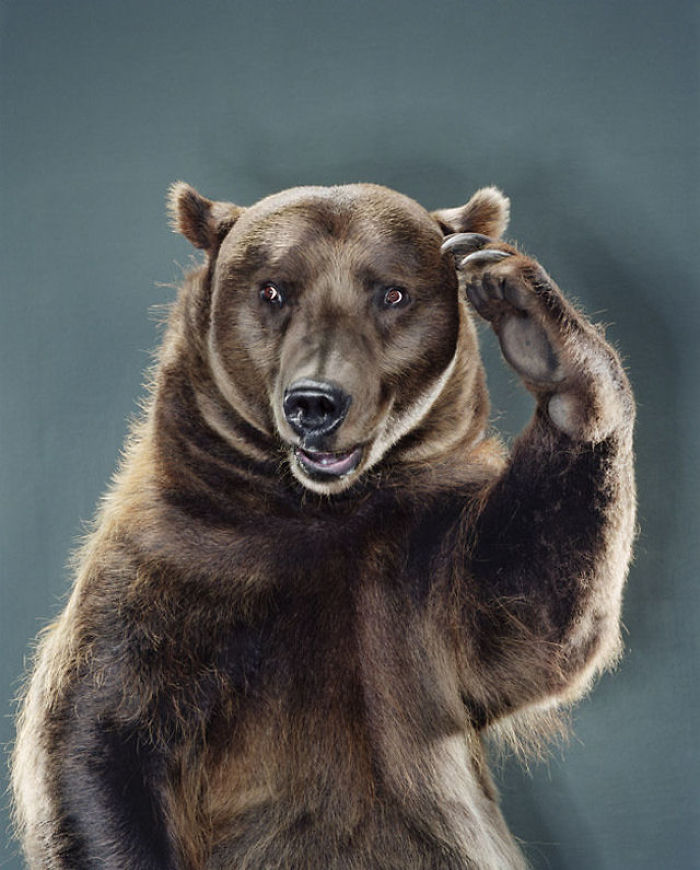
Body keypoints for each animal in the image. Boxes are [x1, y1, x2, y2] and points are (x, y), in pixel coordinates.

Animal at [11, 180, 636, 869]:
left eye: (391, 293)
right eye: (273, 290)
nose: (315, 402)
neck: (315, 509)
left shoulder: (417, 567)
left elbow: (527, 616)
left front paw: (532, 324)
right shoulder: (168, 567)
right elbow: (98, 734)